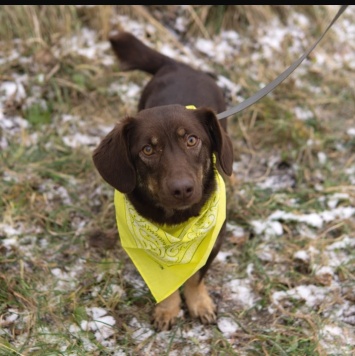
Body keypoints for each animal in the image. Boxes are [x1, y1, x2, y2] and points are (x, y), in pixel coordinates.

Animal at [93, 32, 235, 330]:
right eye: (148, 149)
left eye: (192, 140)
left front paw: (199, 303)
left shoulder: (215, 242)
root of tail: (178, 65)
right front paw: (168, 310)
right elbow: (167, 286)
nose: (182, 189)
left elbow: (195, 277)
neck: (176, 223)